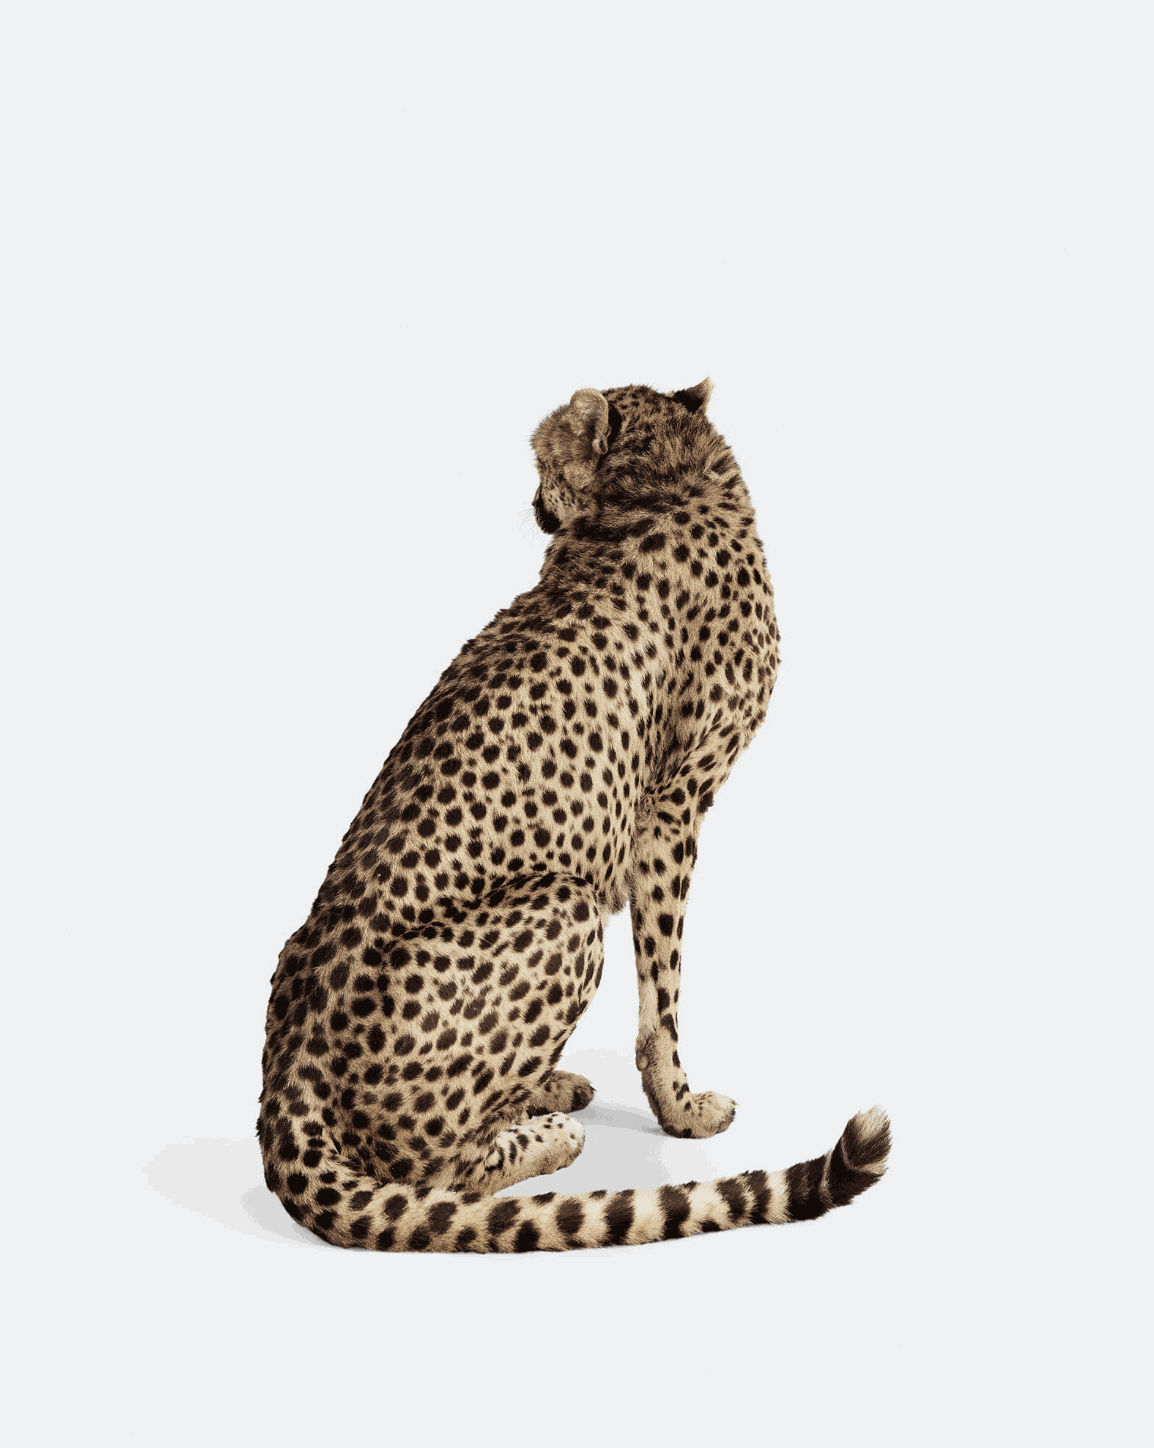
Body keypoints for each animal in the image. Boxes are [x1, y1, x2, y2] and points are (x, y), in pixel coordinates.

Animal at [258, 379, 890, 1251]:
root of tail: (290, 1069)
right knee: (433, 1172)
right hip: (566, 905)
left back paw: (543, 1088)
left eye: (541, 462)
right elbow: (663, 992)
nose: (532, 502)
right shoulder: (670, 809)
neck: (662, 482)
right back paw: (549, 1135)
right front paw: (682, 1110)